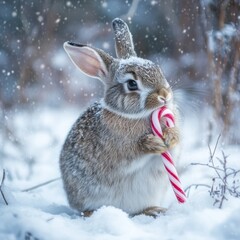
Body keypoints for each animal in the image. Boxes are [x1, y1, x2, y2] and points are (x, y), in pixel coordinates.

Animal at [60, 18, 180, 218]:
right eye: (132, 84)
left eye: (158, 70)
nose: (164, 95)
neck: (136, 116)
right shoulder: (117, 151)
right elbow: (132, 152)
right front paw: (153, 144)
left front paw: (171, 137)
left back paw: (153, 210)